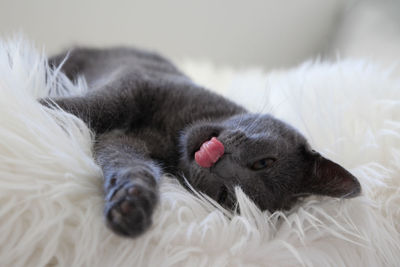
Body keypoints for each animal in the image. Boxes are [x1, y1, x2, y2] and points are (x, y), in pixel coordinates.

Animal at [42, 47, 360, 238]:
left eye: (226, 197)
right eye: (264, 162)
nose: (216, 163)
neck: (174, 134)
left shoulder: (128, 143)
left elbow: (131, 164)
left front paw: (132, 204)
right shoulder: (139, 81)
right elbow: (106, 104)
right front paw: (39, 105)